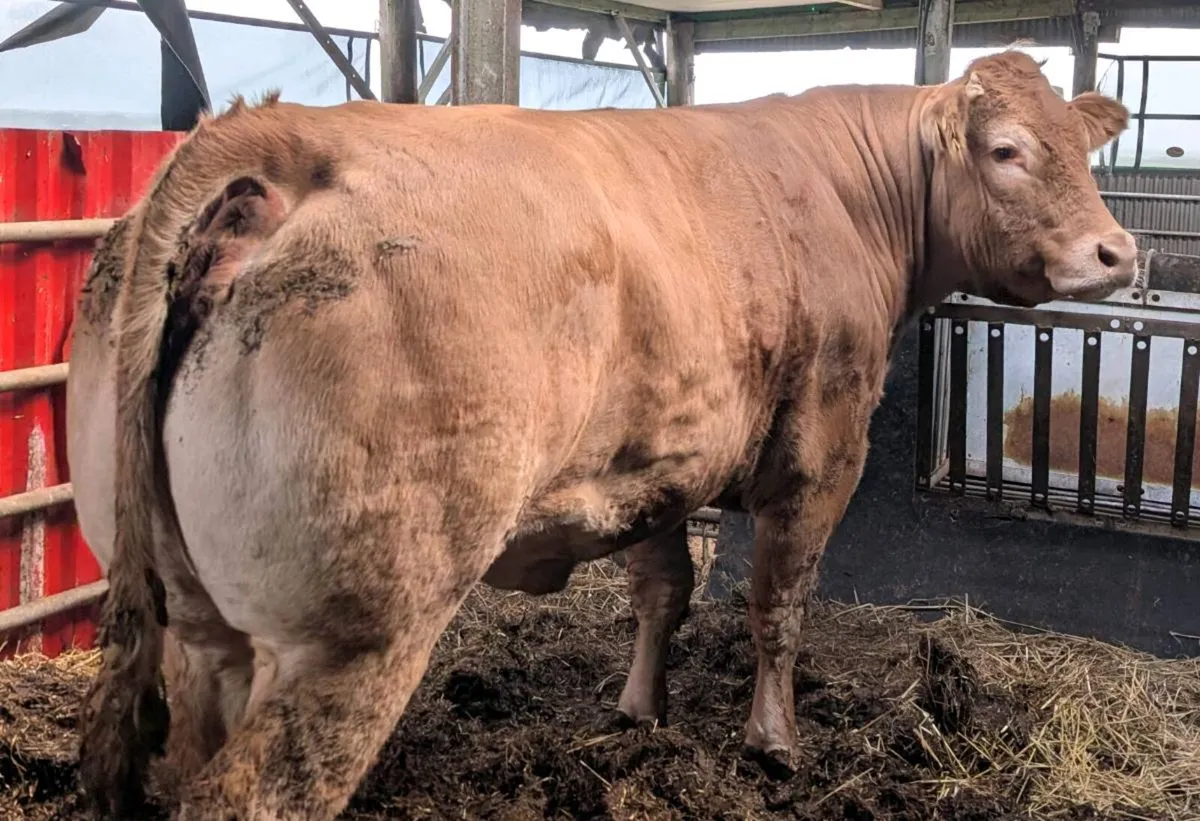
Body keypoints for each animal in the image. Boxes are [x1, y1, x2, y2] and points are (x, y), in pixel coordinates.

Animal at [66, 50, 1135, 820]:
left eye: (1082, 147)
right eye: (1006, 149)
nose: (1118, 253)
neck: (839, 189)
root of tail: (276, 132)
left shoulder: (651, 462)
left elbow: (664, 590)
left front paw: (638, 713)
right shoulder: (822, 451)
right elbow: (778, 605)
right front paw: (772, 743)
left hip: (198, 623)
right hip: (350, 635)